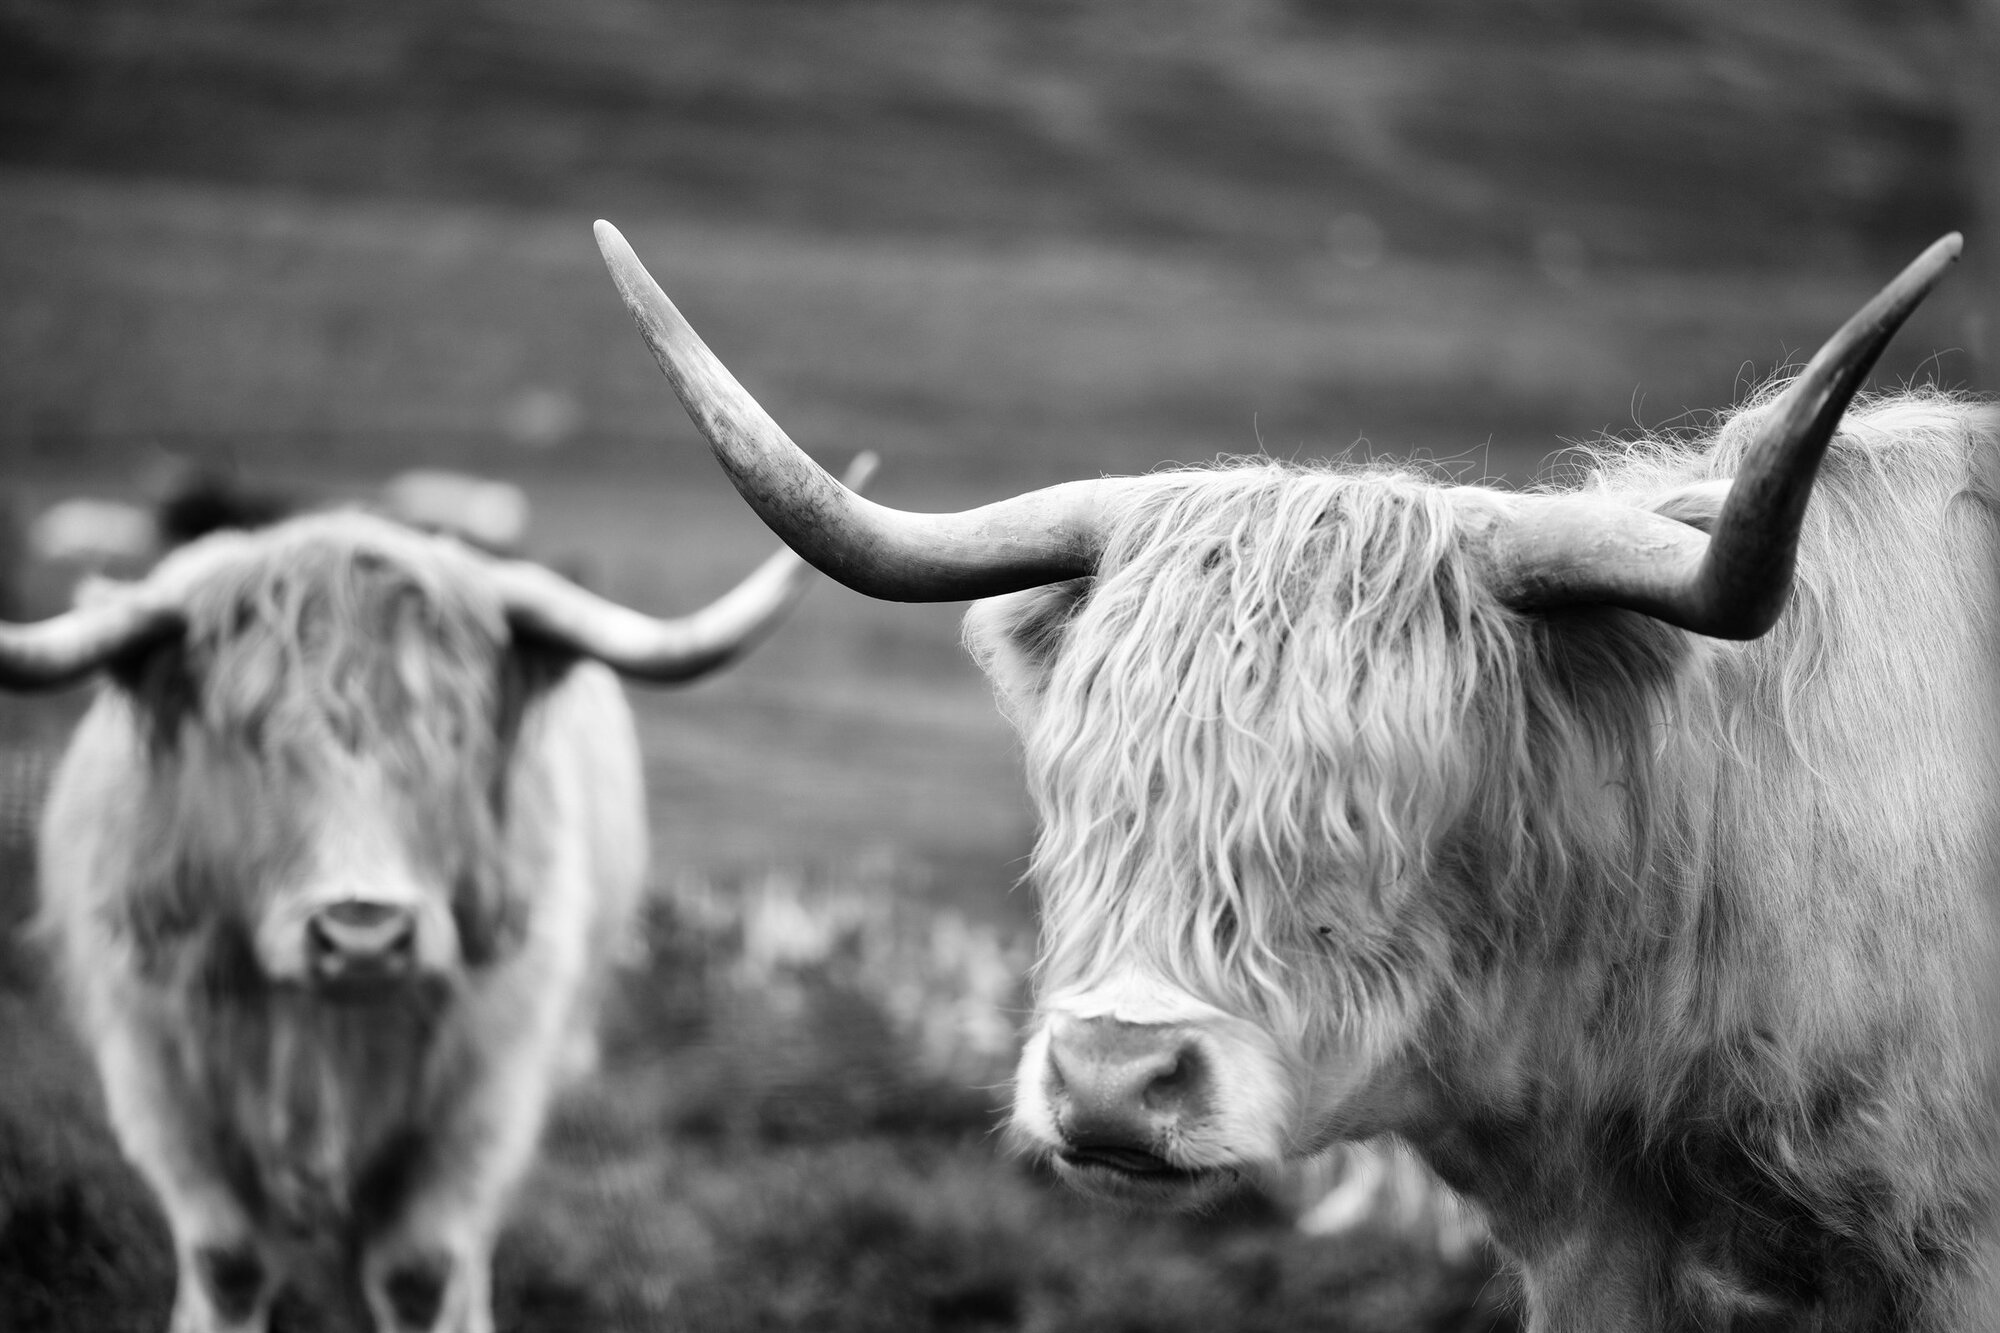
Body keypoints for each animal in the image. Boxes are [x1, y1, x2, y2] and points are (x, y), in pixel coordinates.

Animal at [0, 462, 869, 1333]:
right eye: (247, 734)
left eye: (455, 735)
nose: (363, 934)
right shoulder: (160, 1084)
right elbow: (228, 1263)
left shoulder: (485, 1099)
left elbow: (423, 1270)